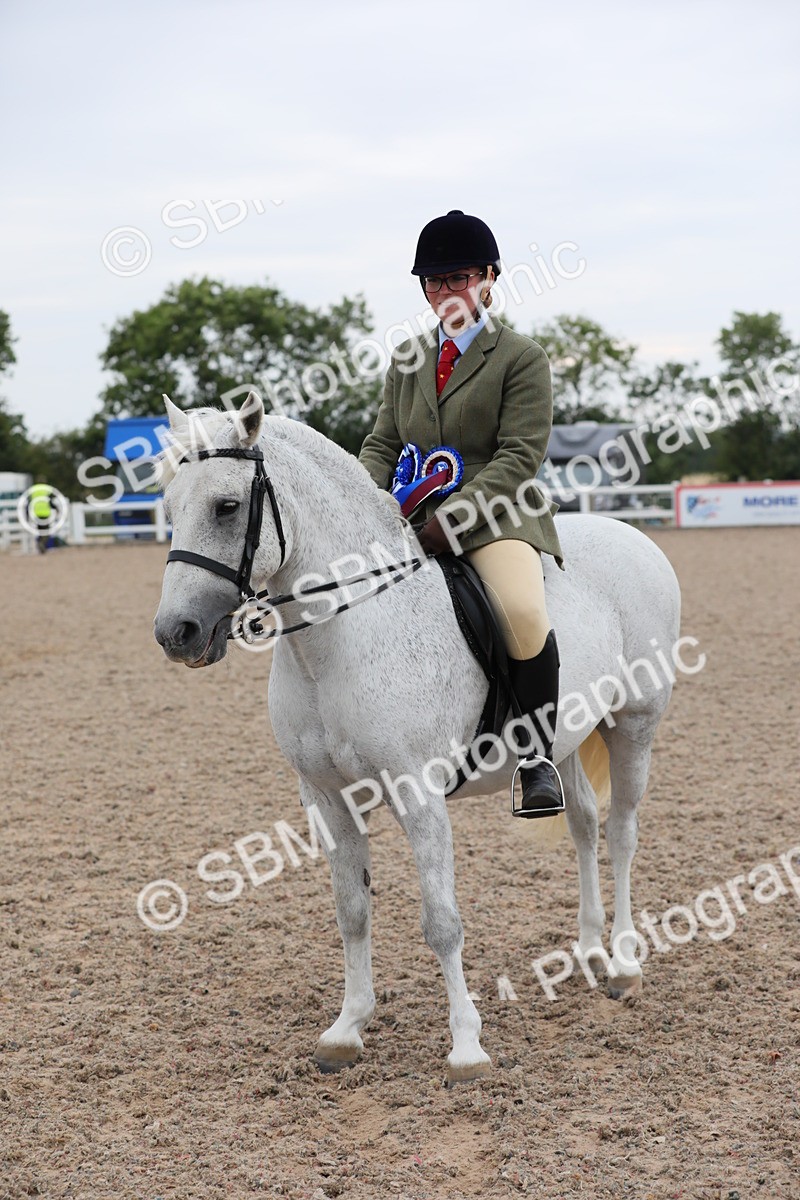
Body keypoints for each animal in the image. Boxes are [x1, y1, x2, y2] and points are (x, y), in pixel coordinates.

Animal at [153, 393, 681, 1083]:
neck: (342, 633)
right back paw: (589, 950)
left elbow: (441, 922)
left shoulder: (418, 794)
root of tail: (630, 533)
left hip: (635, 722)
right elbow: (352, 908)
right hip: (565, 738)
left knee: (621, 833)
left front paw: (466, 1047)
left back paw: (622, 963)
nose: (176, 633)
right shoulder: (326, 797)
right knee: (585, 825)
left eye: (225, 506)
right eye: (167, 506)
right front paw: (347, 1029)